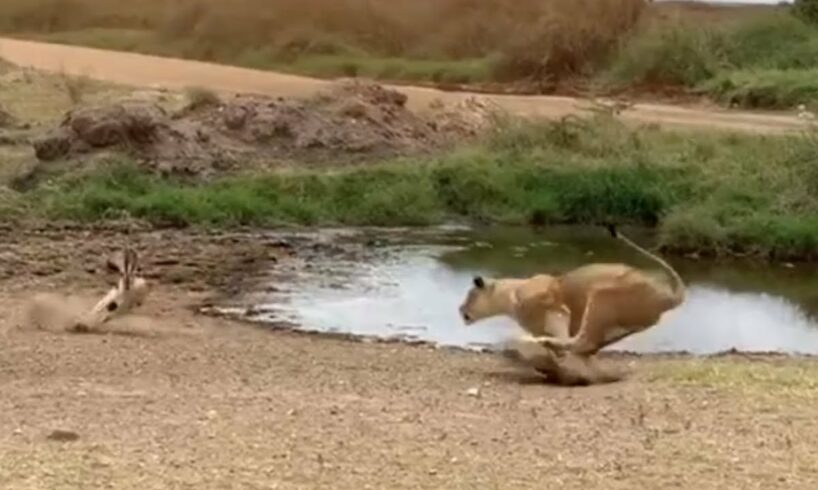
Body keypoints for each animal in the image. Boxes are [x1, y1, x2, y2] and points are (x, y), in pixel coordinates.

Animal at [458, 225, 686, 384]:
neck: (511, 295)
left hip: (601, 296)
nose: (461, 310)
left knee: (582, 341)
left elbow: (563, 333)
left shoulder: (557, 309)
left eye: (470, 294)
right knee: (588, 345)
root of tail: (665, 295)